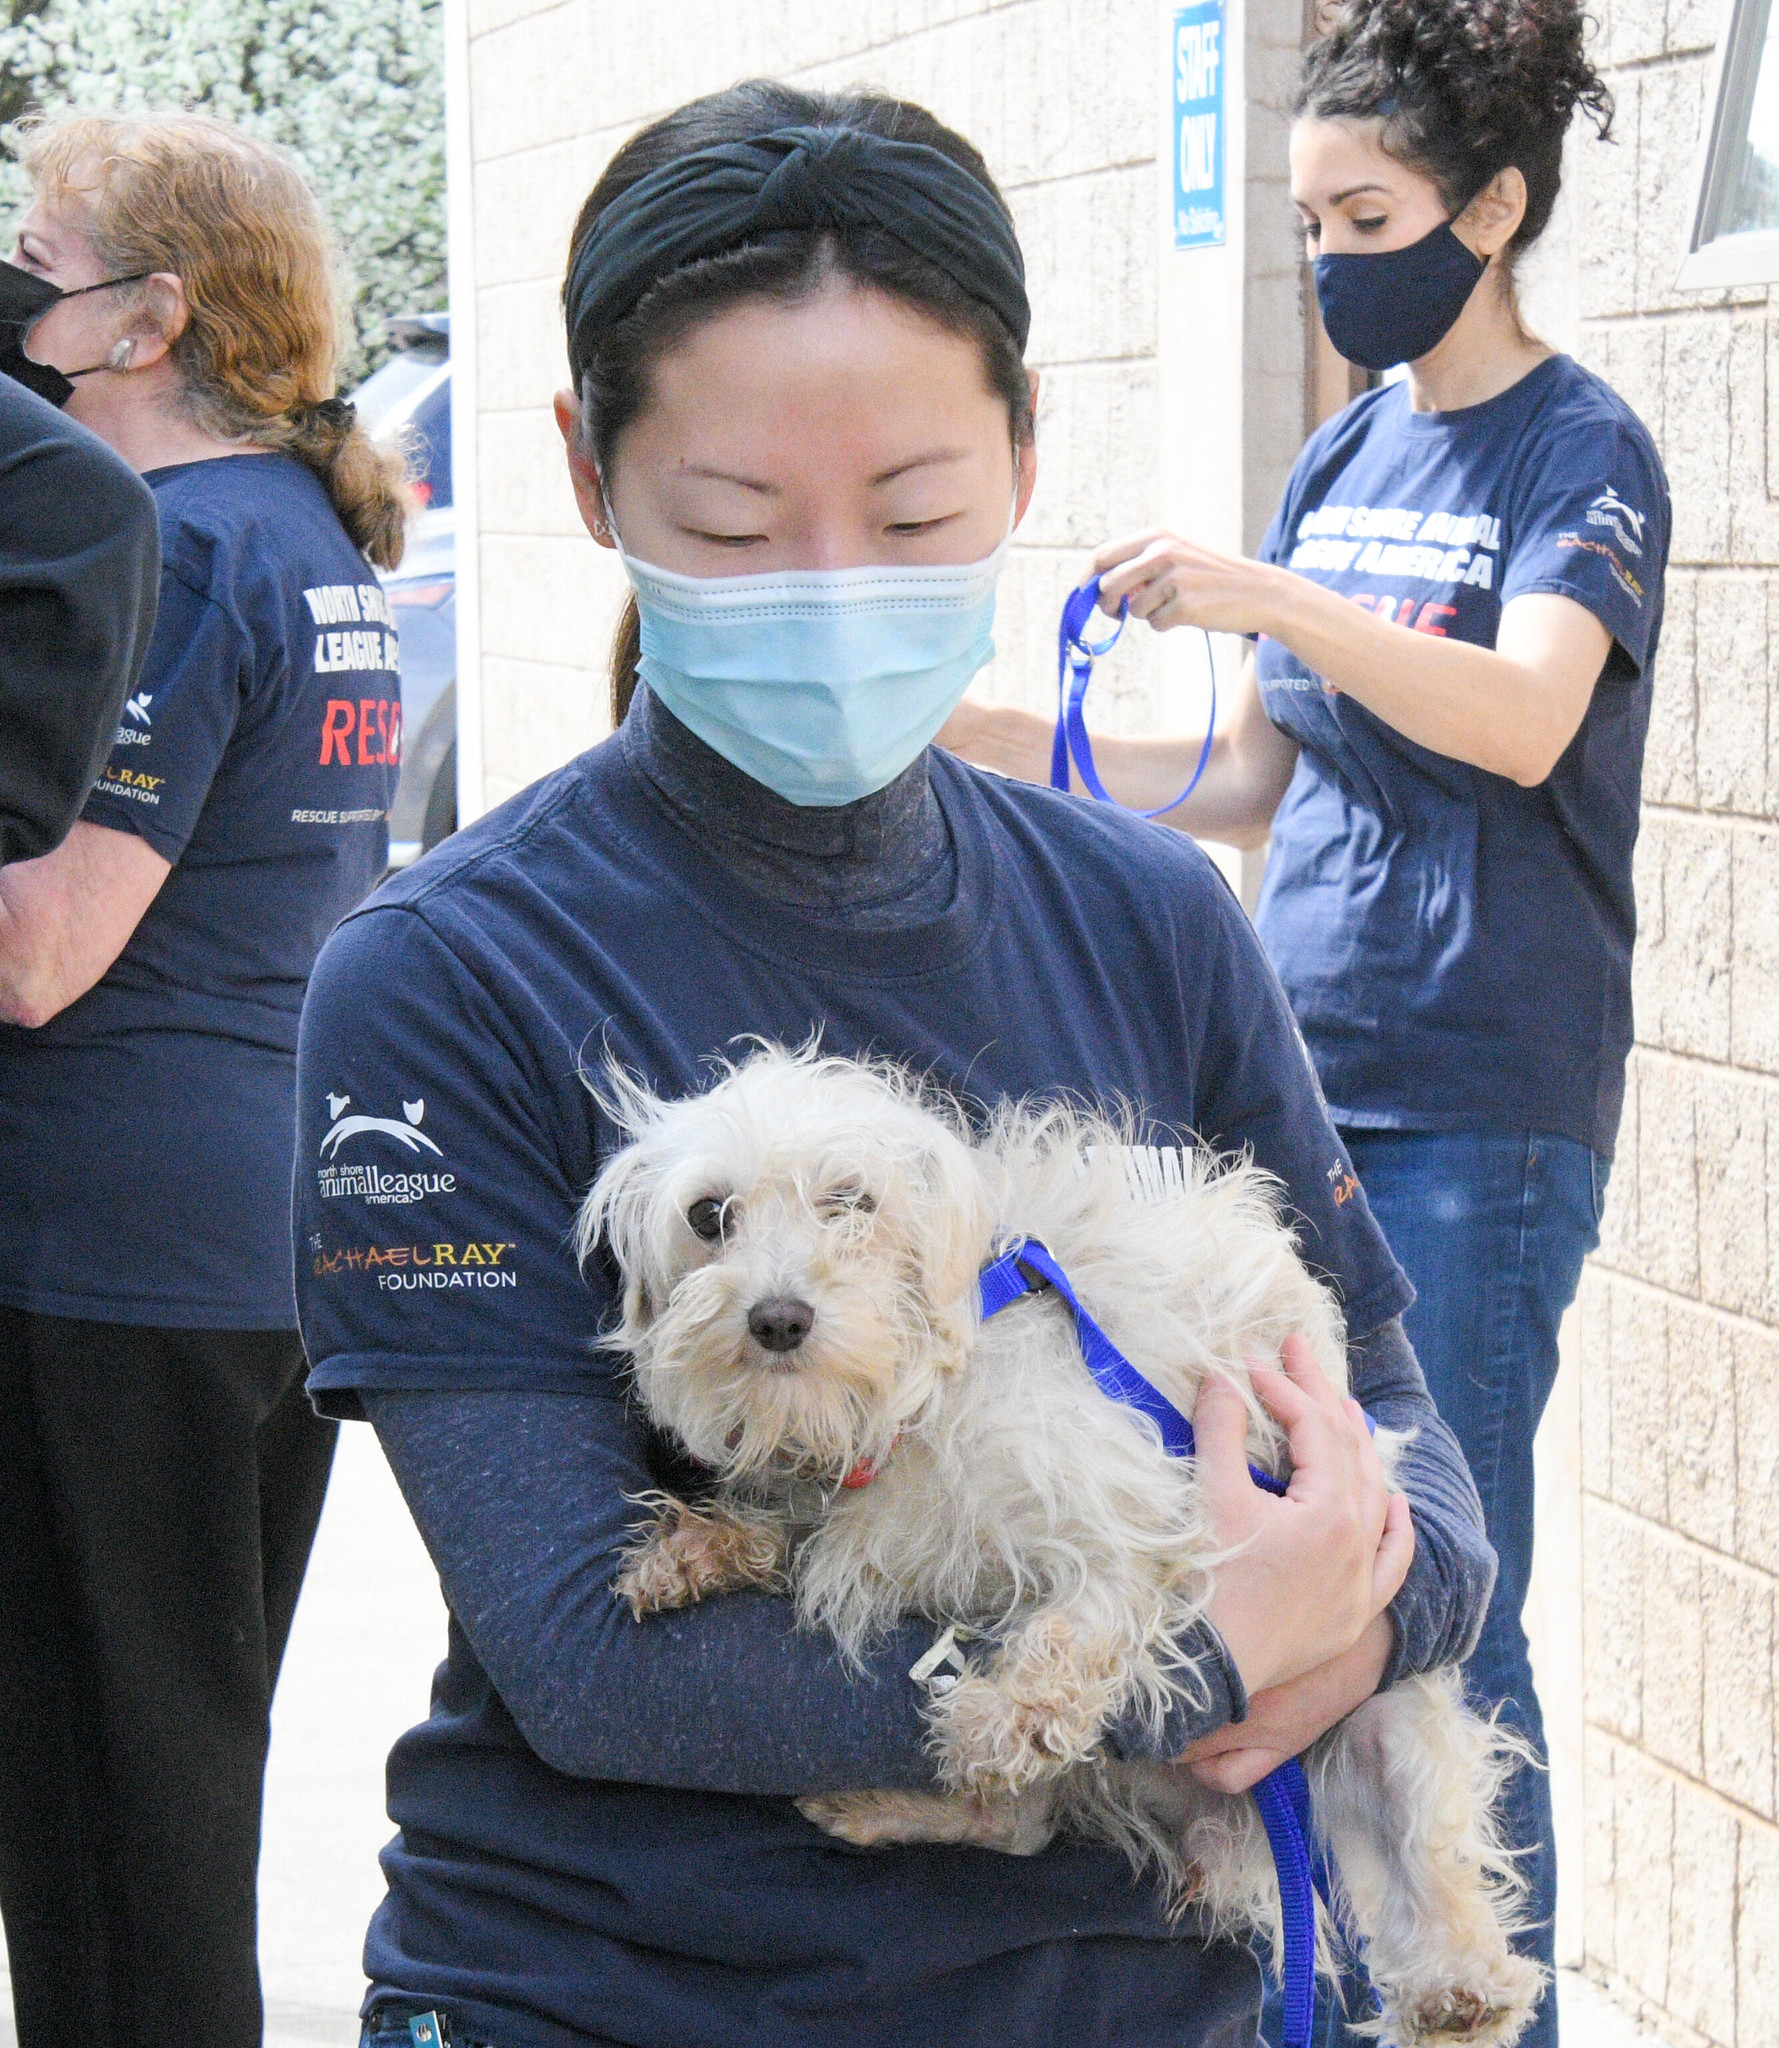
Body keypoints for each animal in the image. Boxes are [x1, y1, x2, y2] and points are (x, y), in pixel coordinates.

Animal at [581, 1048, 1539, 2039]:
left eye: (851, 1200)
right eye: (707, 1216)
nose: (777, 1318)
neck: (913, 1403)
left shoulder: (1141, 1509)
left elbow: (1077, 1627)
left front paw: (1013, 1715)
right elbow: (780, 1529)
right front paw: (700, 1549)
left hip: (1387, 1722)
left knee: (1431, 1857)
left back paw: (1458, 1989)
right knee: (1021, 1824)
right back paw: (880, 1805)